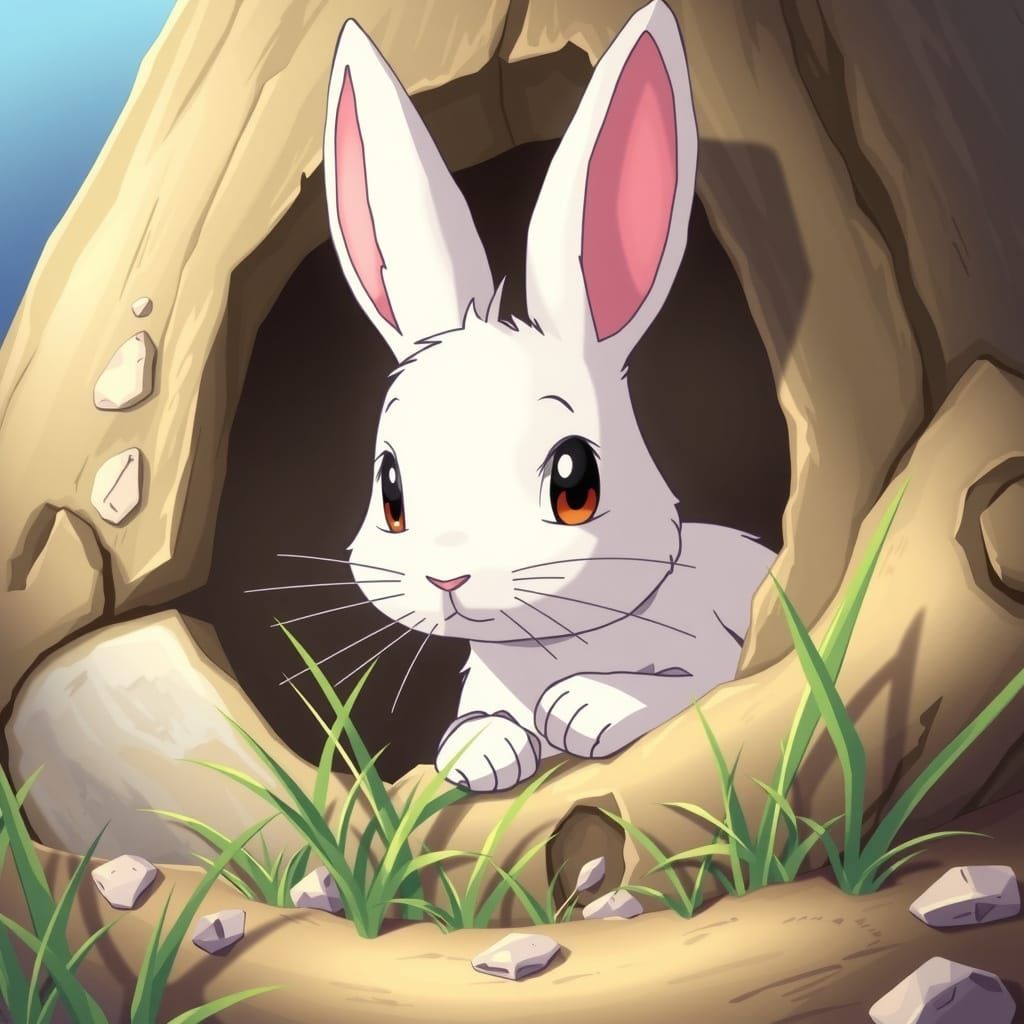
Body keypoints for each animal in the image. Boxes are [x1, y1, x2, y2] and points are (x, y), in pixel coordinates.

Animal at [322, 0, 776, 792]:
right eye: (391, 490)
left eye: (575, 483)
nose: (448, 575)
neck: (547, 645)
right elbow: (483, 721)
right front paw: (483, 751)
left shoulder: (714, 653)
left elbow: (678, 683)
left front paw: (582, 709)